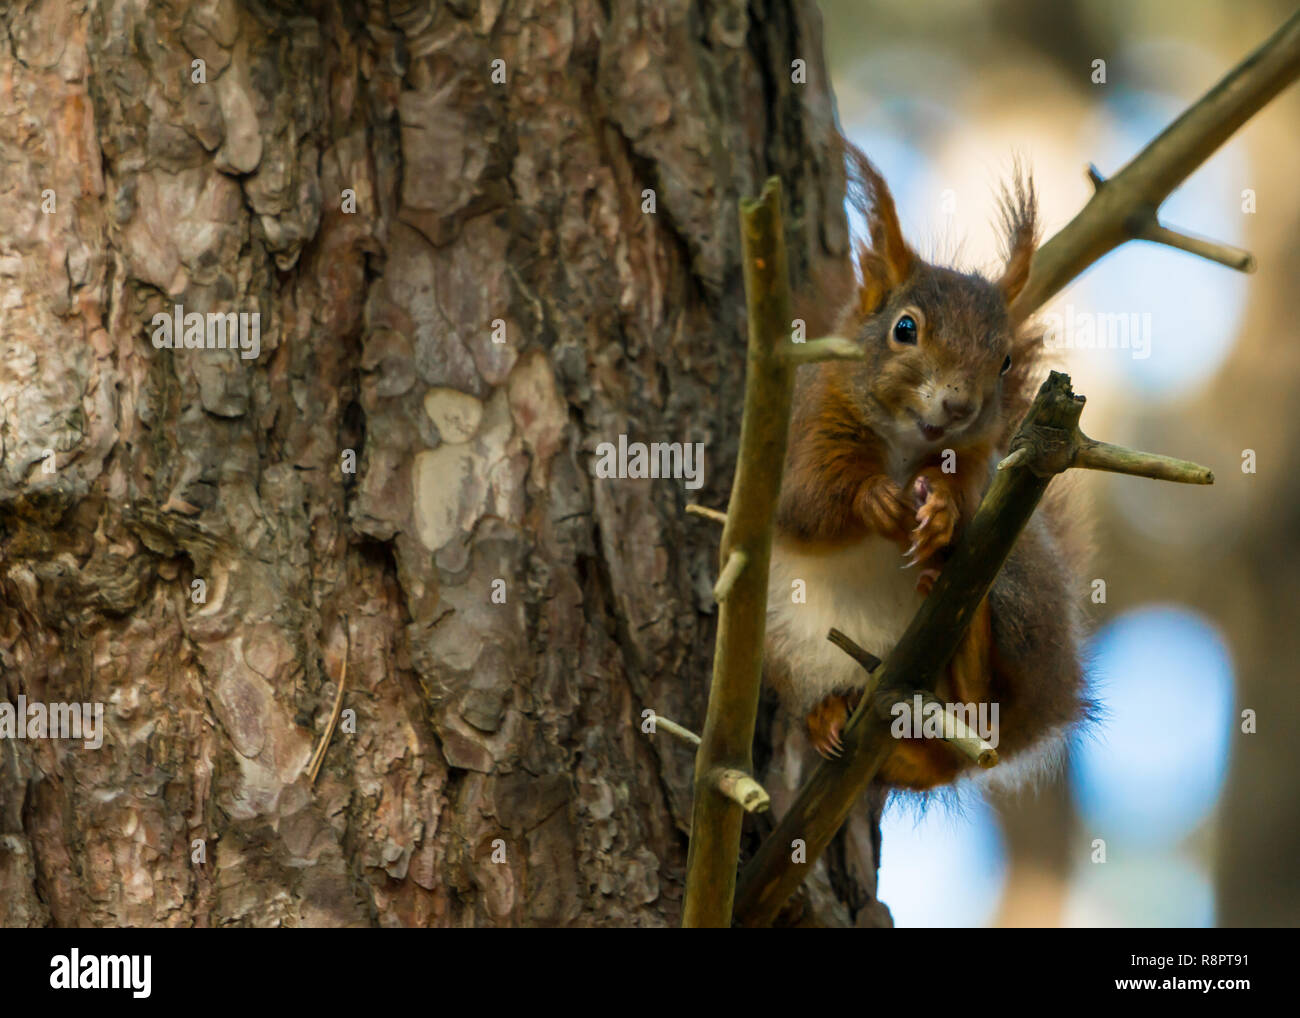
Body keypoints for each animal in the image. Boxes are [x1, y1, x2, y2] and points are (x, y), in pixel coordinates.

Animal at [764, 141, 1090, 791]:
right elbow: (804, 500)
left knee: (980, 712)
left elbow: (964, 501)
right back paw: (829, 719)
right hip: (791, 646)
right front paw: (872, 499)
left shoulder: (979, 464)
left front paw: (939, 515)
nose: (960, 404)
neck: (902, 446)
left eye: (1005, 360)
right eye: (904, 329)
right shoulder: (805, 427)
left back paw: (967, 653)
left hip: (1017, 594)